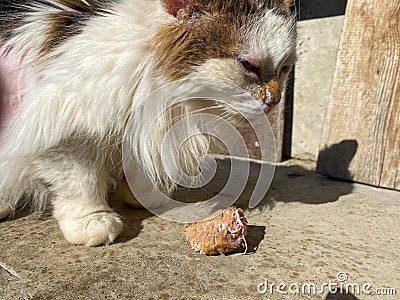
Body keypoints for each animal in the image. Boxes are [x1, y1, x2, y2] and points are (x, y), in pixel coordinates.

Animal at [0, 0, 294, 246]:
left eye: (284, 69)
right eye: (248, 65)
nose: (275, 100)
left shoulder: (147, 125)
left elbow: (141, 169)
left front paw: (143, 196)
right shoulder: (59, 129)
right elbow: (80, 181)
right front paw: (93, 220)